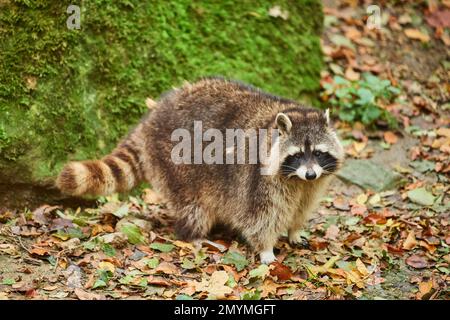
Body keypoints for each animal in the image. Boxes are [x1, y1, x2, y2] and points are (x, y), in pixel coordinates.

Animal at [57, 77, 344, 262]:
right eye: (297, 155)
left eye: (318, 153)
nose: (310, 173)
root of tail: (151, 118)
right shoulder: (259, 180)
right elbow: (259, 217)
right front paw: (266, 249)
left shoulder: (311, 186)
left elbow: (301, 208)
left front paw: (295, 230)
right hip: (175, 163)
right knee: (194, 207)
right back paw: (194, 235)